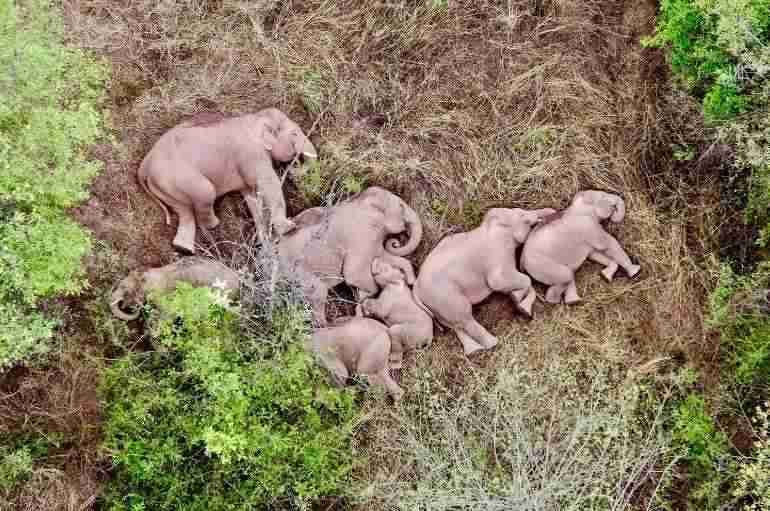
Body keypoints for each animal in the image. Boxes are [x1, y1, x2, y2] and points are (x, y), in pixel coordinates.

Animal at [137, 107, 318, 254]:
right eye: (294, 133)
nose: (293, 168)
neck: (254, 117)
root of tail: (144, 165)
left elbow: (252, 196)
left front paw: (265, 242)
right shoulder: (251, 154)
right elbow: (266, 184)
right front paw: (289, 228)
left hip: (164, 187)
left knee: (184, 211)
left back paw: (184, 249)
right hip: (178, 178)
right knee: (205, 193)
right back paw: (214, 225)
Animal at [278, 186, 423, 327]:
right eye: (401, 206)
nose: (395, 242)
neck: (359, 201)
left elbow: (384, 256)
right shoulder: (360, 236)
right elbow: (354, 275)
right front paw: (362, 299)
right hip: (302, 274)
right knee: (318, 298)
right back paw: (335, 323)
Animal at [412, 207, 555, 355]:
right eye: (522, 215)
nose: (552, 211)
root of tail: (416, 287)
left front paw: (518, 302)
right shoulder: (498, 253)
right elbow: (501, 281)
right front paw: (518, 300)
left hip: (436, 305)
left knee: (454, 324)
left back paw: (474, 350)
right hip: (445, 296)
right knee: (465, 317)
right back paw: (493, 343)